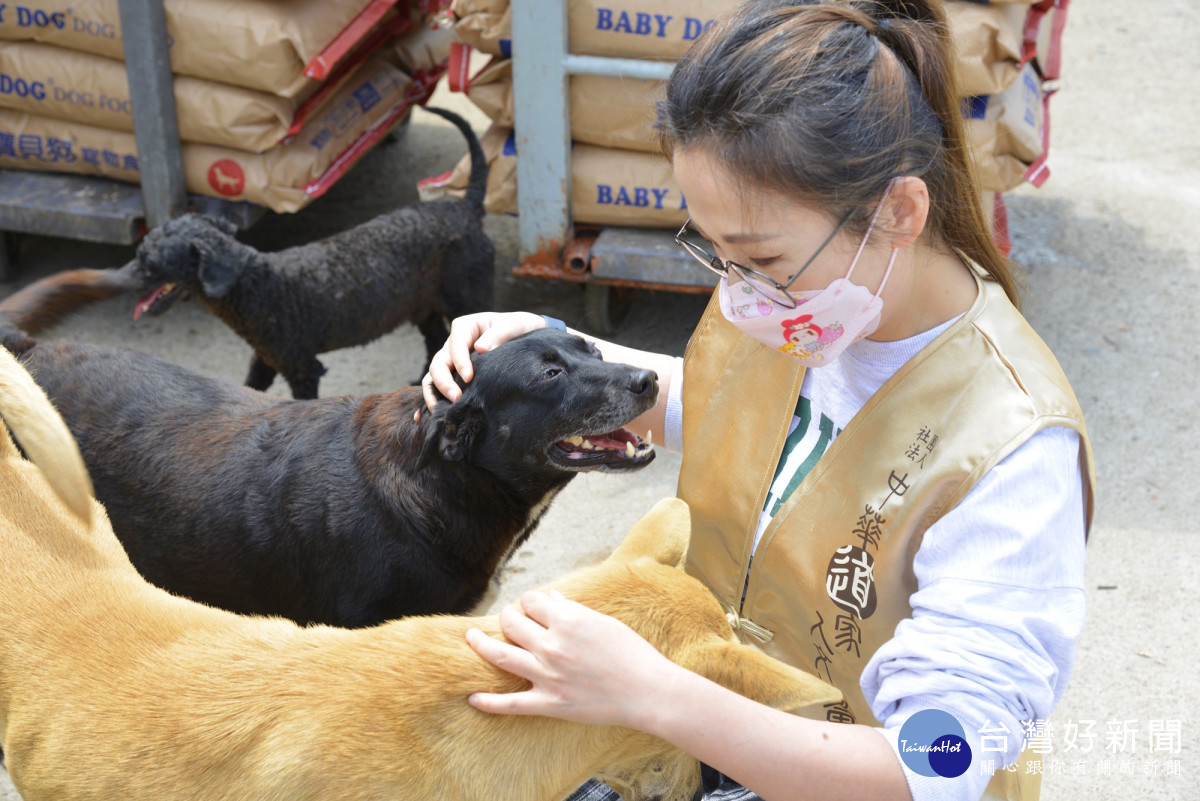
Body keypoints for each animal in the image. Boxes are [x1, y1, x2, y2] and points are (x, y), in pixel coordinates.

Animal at [127, 106, 492, 400]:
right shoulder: (265, 359)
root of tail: (466, 207)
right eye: (142, 252)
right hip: (422, 304)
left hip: (466, 296)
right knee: (437, 341)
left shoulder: (301, 367)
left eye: (153, 262)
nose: (122, 277)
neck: (259, 287)